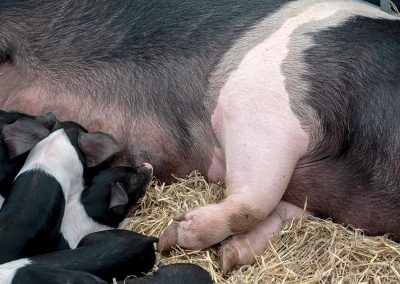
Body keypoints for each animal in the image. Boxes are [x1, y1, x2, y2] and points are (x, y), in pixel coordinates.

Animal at [0, 1, 400, 274]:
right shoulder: (259, 100)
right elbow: (254, 201)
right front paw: (173, 237)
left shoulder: (309, 193)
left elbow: (282, 213)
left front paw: (228, 258)